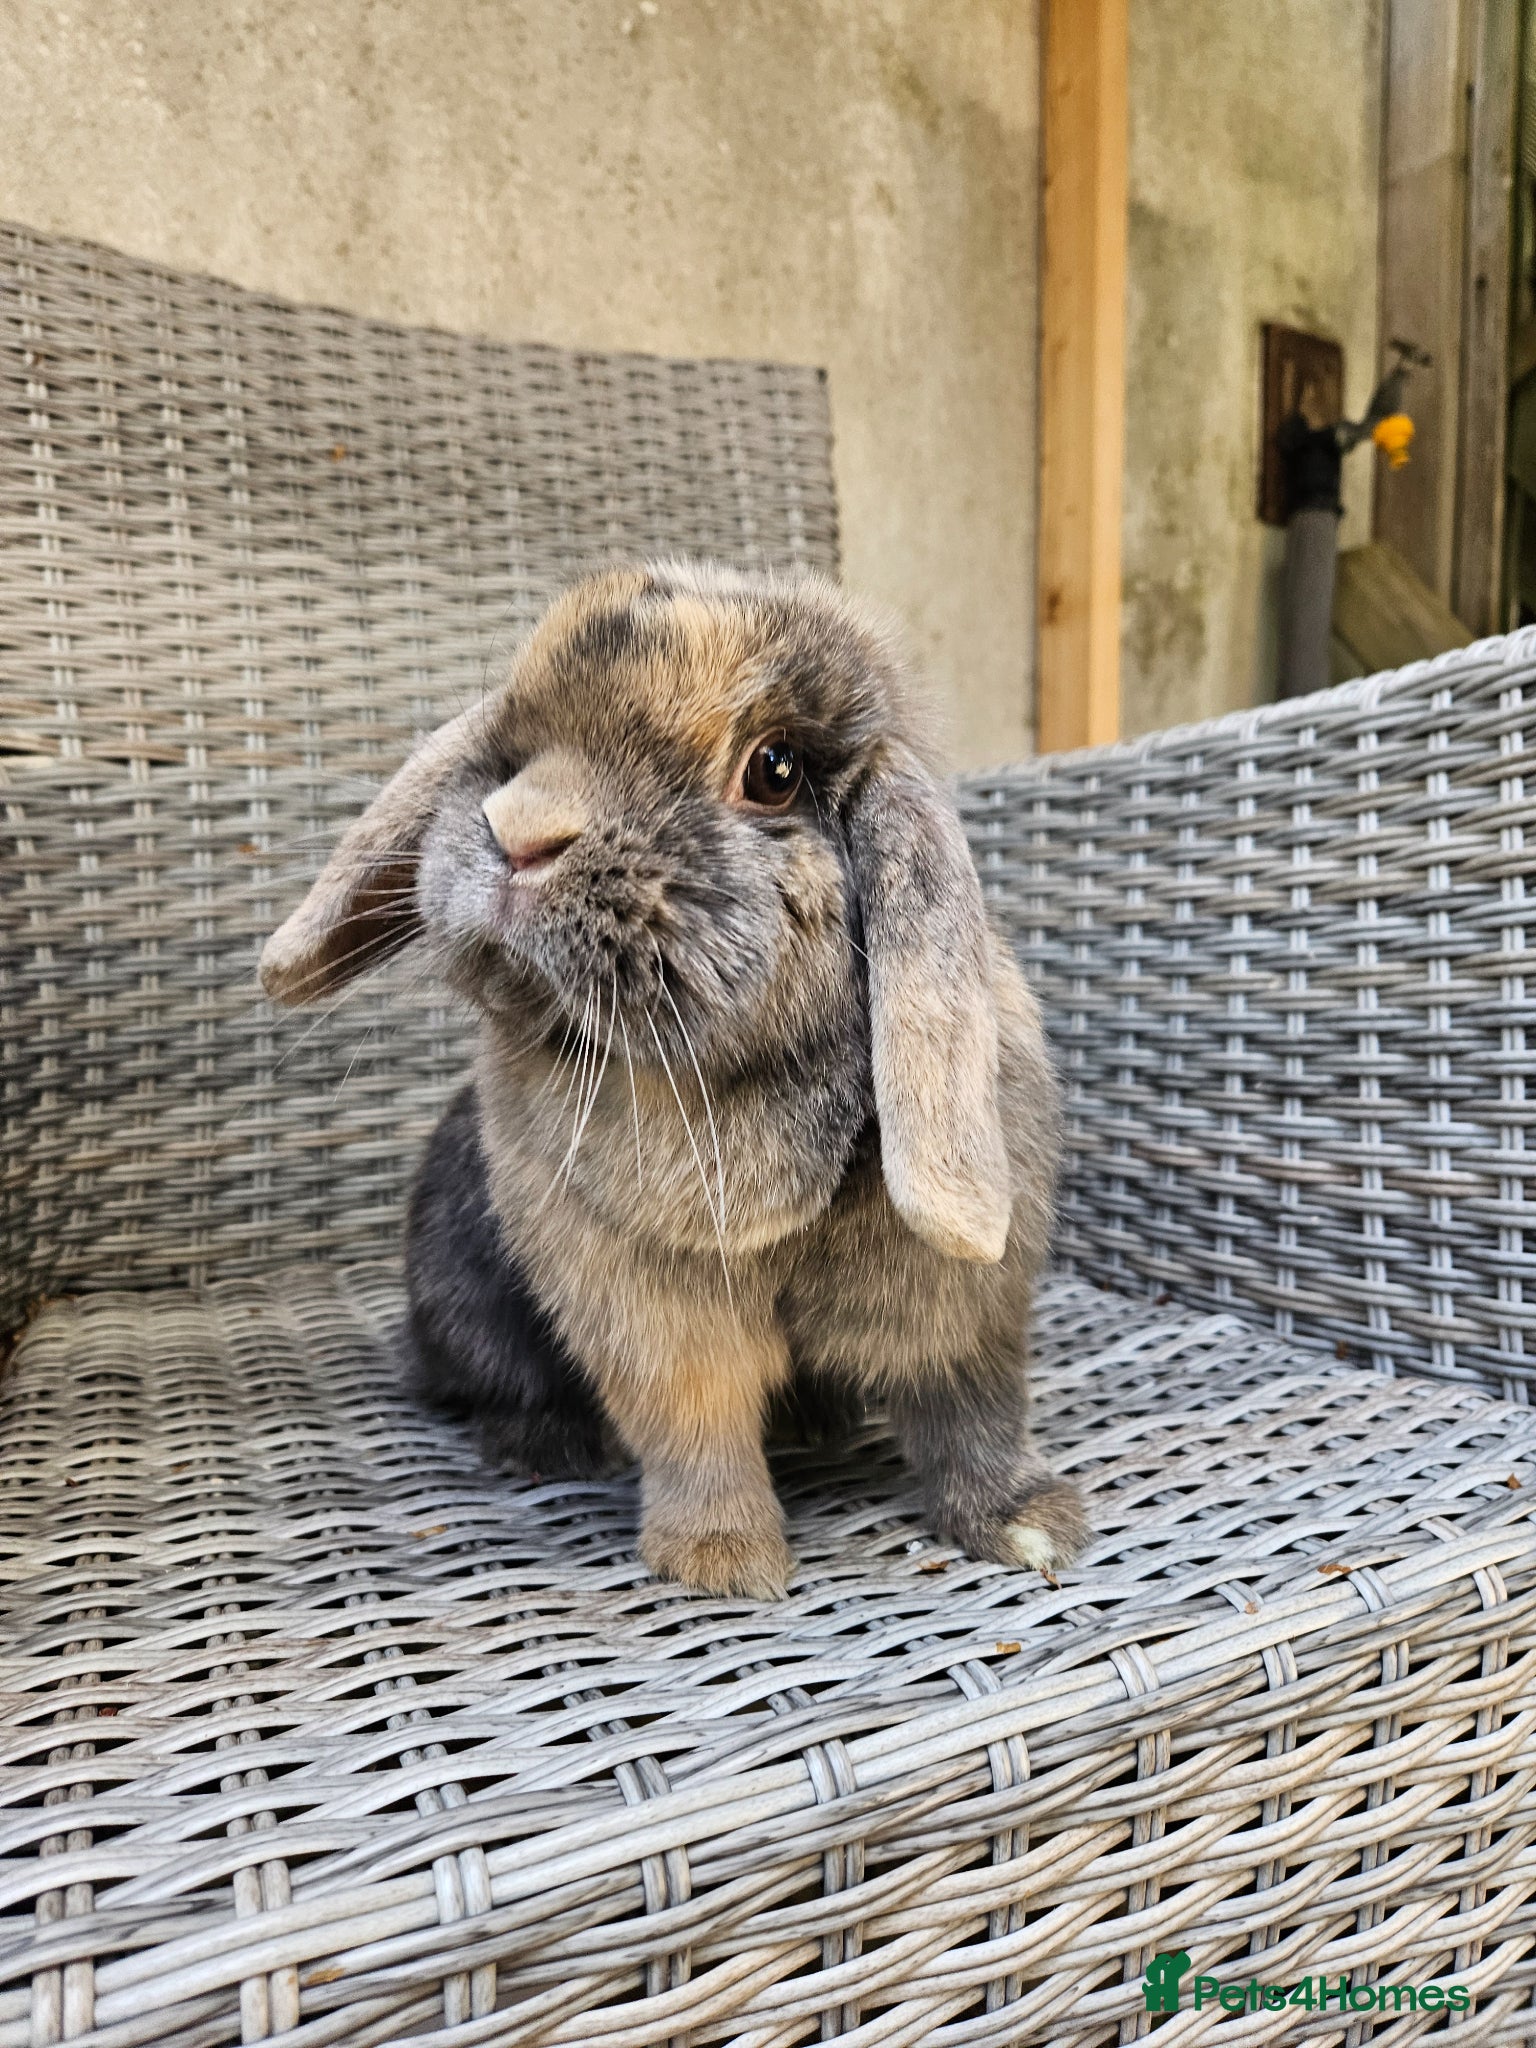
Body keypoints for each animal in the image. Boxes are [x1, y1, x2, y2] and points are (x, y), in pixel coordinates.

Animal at [260, 560, 1086, 1598]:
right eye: (511, 749)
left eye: (774, 768)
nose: (517, 831)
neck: (715, 1080)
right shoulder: (648, 1320)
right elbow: (698, 1431)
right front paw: (721, 1562)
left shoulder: (962, 1310)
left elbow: (973, 1413)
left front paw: (1031, 1527)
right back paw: (549, 1447)